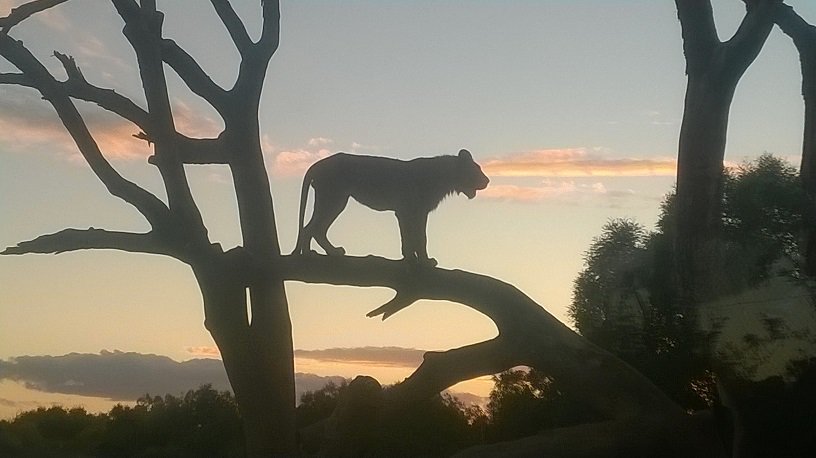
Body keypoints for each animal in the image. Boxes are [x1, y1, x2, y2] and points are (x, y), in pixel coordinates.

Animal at [293, 149, 489, 266]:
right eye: (477, 169)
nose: (487, 181)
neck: (445, 179)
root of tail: (317, 164)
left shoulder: (410, 212)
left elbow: (412, 237)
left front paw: (411, 258)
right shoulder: (411, 211)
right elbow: (418, 237)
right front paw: (423, 261)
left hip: (332, 200)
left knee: (315, 228)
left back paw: (326, 253)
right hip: (334, 199)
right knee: (311, 228)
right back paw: (313, 254)